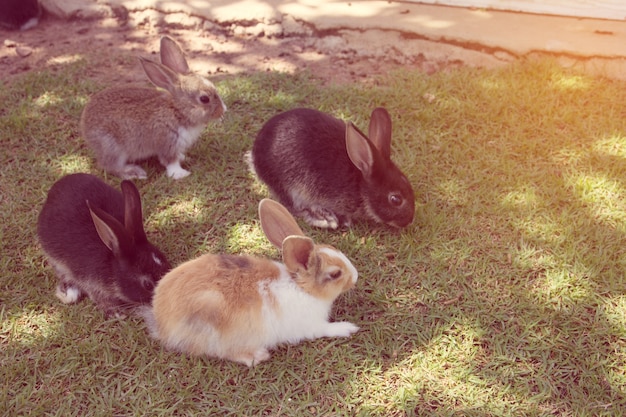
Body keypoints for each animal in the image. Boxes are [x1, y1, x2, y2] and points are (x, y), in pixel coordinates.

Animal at [80, 35, 225, 179]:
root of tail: (85, 125)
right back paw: (133, 172)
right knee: (110, 166)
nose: (223, 110)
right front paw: (180, 174)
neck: (177, 111)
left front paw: (182, 158)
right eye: (204, 99)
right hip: (112, 146)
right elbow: (170, 161)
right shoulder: (167, 142)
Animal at [247, 107, 414, 229]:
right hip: (289, 185)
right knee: (294, 207)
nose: (409, 220)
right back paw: (324, 218)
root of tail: (255, 157)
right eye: (395, 199)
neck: (361, 184)